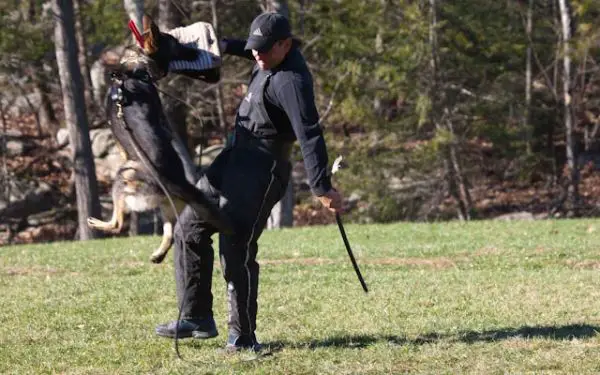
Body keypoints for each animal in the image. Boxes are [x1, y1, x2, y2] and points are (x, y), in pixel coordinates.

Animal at [86, 15, 232, 264]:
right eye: (176, 44)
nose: (198, 53)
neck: (136, 68)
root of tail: (178, 182)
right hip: (167, 205)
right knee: (171, 233)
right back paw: (158, 254)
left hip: (123, 179)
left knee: (118, 224)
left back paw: (97, 223)